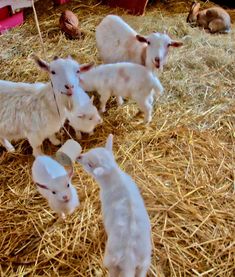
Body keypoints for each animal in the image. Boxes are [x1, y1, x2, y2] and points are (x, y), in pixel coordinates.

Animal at [77, 133, 152, 274]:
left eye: (90, 164)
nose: (78, 157)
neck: (115, 177)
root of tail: (129, 261)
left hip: (110, 260)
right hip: (144, 262)